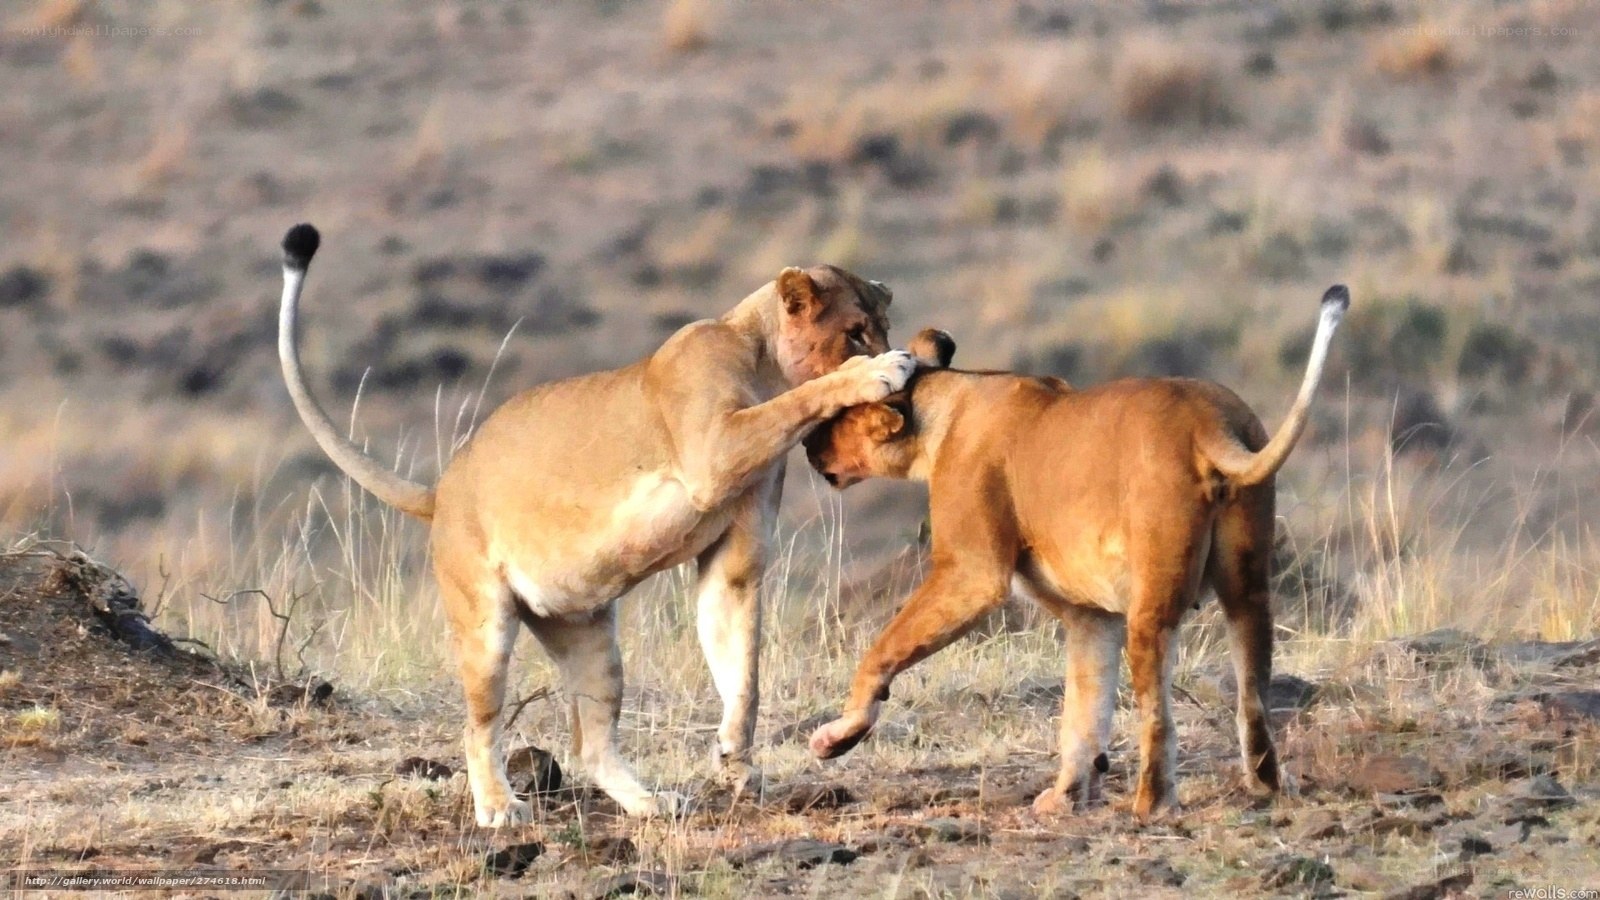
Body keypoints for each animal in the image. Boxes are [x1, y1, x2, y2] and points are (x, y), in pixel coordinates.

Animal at [276, 224, 914, 827]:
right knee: (477, 727)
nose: (903, 355)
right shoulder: (715, 451)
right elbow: (801, 397)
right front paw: (877, 371)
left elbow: (743, 670)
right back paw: (499, 808)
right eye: (857, 331)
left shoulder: (735, 558)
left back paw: (650, 803)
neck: (760, 358)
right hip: (485, 626)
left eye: (883, 324)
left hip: (588, 637)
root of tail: (444, 489)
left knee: (591, 743)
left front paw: (736, 761)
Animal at [802, 285, 1349, 821]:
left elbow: (882, 649)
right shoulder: (1091, 615)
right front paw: (1065, 796)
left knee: (1159, 715)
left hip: (1151, 603)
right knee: (1253, 695)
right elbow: (1084, 710)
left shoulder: (972, 573)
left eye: (838, 411)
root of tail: (1205, 422)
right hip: (1248, 584)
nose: (808, 445)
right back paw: (1266, 785)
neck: (948, 403)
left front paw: (840, 735)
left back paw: (1149, 805)